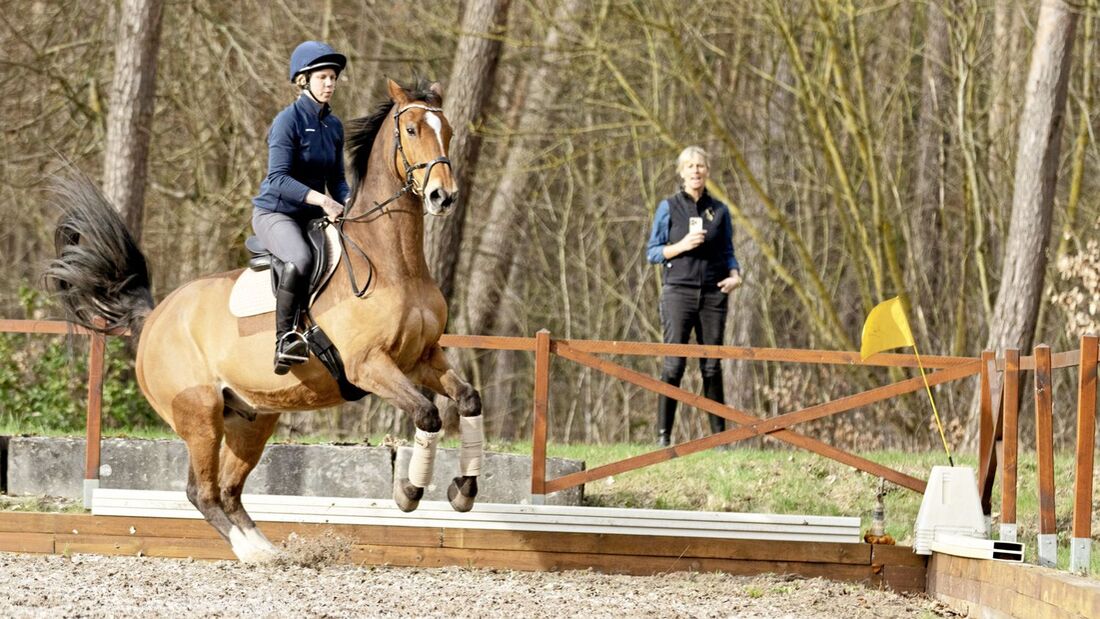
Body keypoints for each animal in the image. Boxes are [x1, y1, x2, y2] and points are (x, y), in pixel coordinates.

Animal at [46, 79, 486, 562]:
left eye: (447, 130)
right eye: (410, 129)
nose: (443, 196)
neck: (395, 263)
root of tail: (155, 316)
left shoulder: (422, 357)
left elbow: (468, 401)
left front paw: (463, 492)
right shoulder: (369, 366)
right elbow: (427, 413)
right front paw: (408, 493)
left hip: (251, 418)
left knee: (229, 489)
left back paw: (267, 550)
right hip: (200, 414)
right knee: (202, 491)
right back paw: (251, 553)